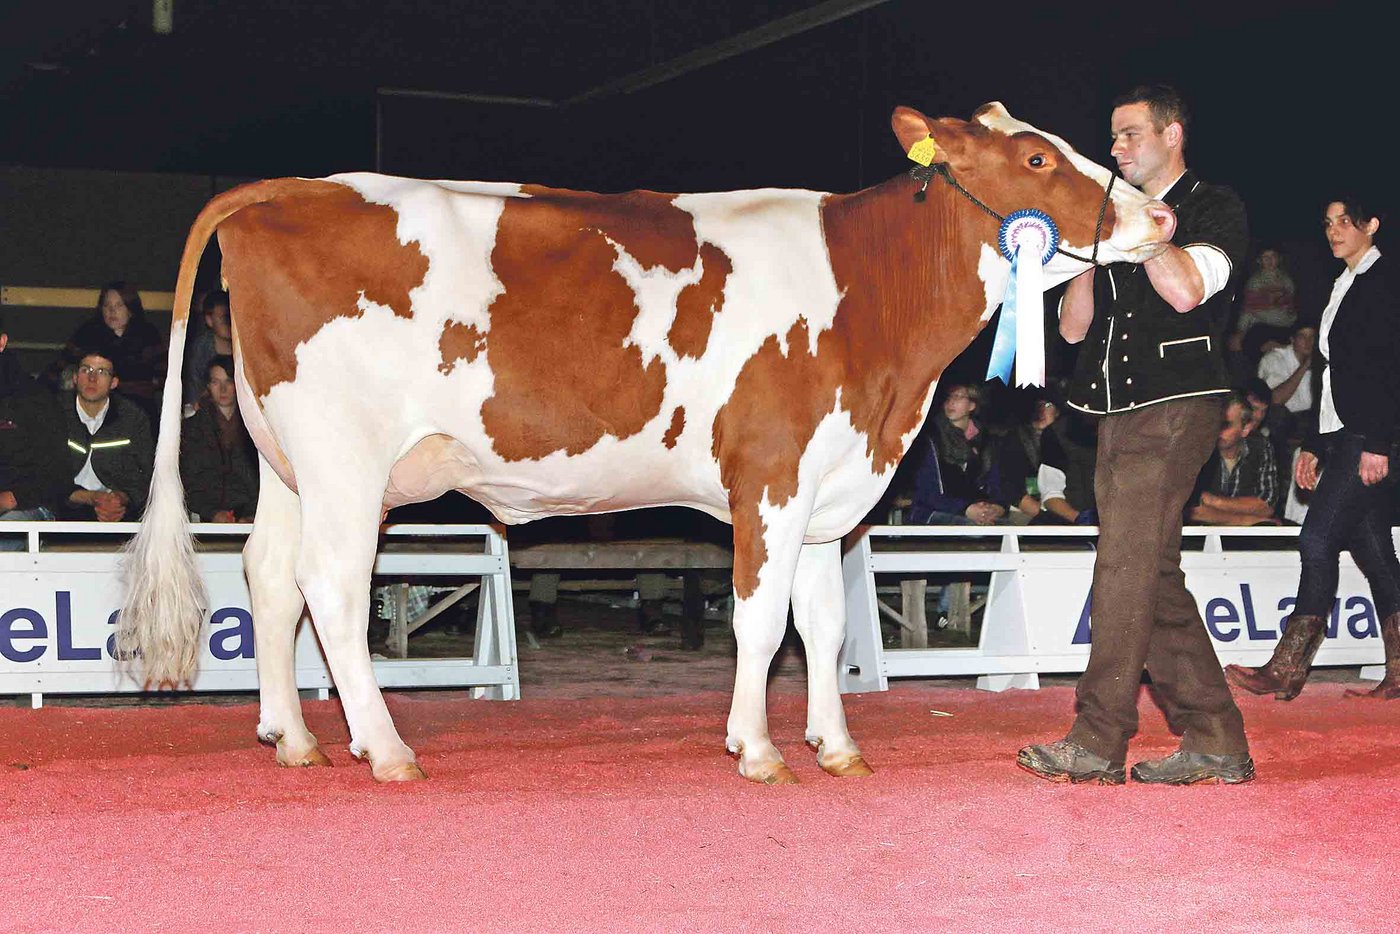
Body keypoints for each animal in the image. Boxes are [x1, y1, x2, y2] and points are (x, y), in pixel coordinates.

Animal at [119, 102, 1173, 784]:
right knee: (329, 586)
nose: (1159, 212)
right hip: (346, 457)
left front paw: (836, 747)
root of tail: (288, 190)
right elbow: (763, 621)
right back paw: (384, 749)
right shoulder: (770, 477)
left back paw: (291, 738)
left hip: (288, 461)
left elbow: (826, 626)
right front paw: (757, 749)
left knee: (266, 573)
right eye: (1036, 162)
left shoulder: (830, 486)